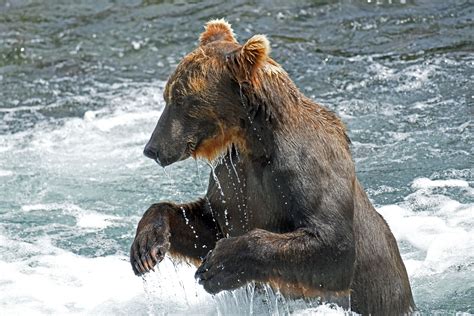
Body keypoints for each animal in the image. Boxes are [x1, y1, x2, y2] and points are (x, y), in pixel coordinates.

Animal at [130, 18, 414, 314]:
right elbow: (205, 223)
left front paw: (218, 265)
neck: (254, 141)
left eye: (183, 99)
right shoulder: (232, 175)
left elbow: (333, 245)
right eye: (168, 95)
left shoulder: (306, 167)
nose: (152, 148)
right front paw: (146, 248)